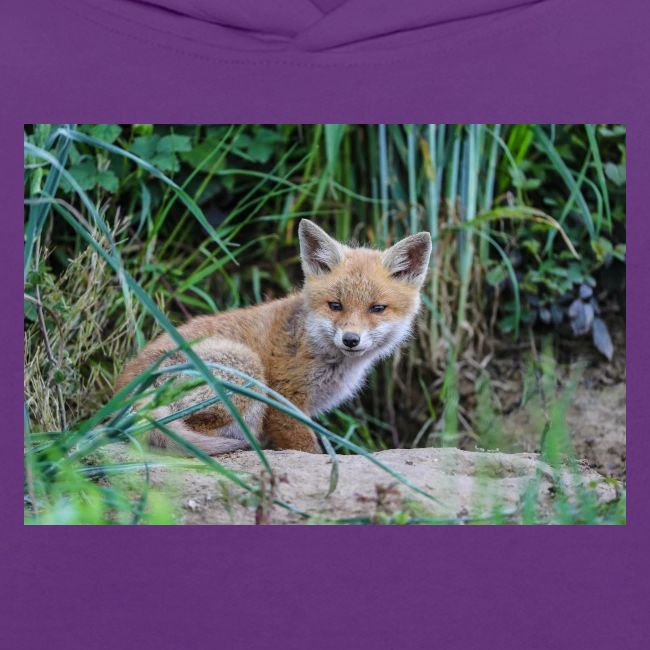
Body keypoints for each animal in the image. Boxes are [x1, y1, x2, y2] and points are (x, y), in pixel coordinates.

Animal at [116, 219, 432, 455]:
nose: (351, 339)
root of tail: (124, 394)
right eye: (335, 305)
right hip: (246, 369)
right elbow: (307, 449)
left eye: (377, 309)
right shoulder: (284, 400)